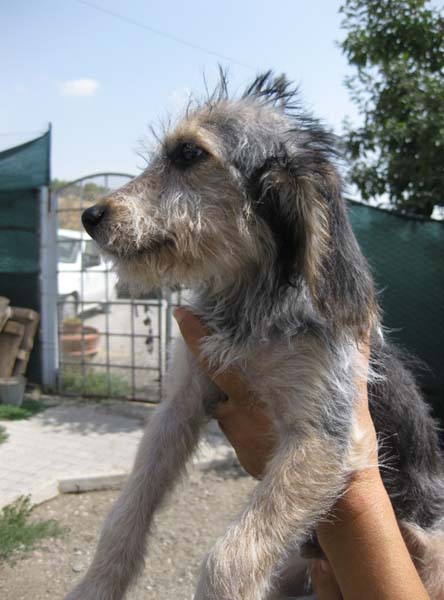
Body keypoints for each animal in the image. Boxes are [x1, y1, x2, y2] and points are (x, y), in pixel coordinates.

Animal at [66, 72, 444, 599]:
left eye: (189, 153)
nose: (89, 216)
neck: (246, 303)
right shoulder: (179, 405)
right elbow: (126, 511)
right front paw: (96, 585)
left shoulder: (327, 435)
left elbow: (231, 557)